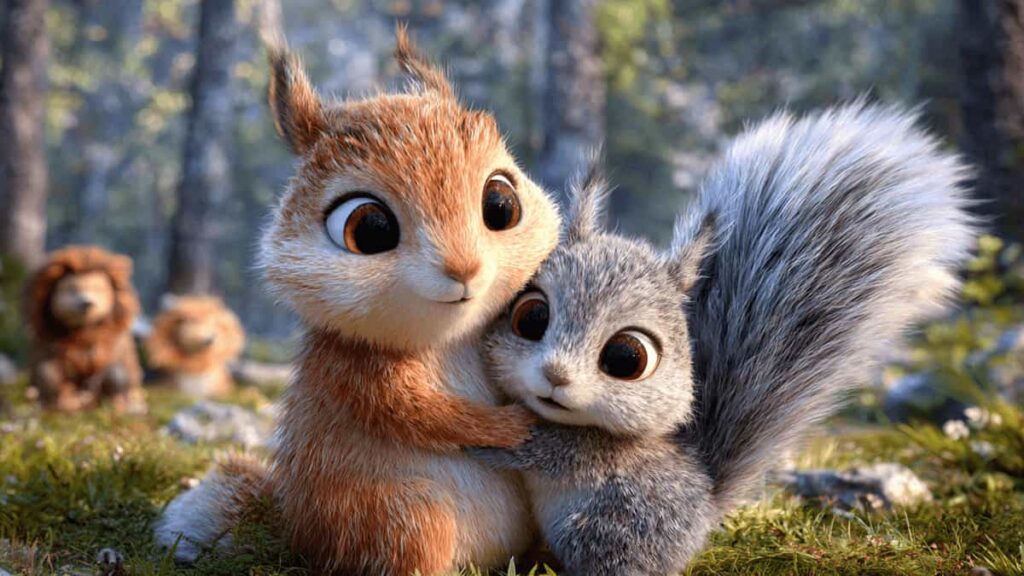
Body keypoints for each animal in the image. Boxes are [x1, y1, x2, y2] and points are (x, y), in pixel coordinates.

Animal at [154, 27, 561, 575]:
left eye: (502, 204)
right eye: (369, 229)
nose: (464, 269)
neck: (450, 338)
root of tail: (302, 537)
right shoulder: (352, 371)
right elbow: (417, 412)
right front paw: (509, 425)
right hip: (402, 517)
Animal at [469, 104, 977, 576]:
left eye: (627, 358)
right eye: (531, 317)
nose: (555, 375)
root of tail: (705, 506)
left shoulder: (589, 451)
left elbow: (542, 450)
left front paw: (484, 441)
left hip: (610, 530)